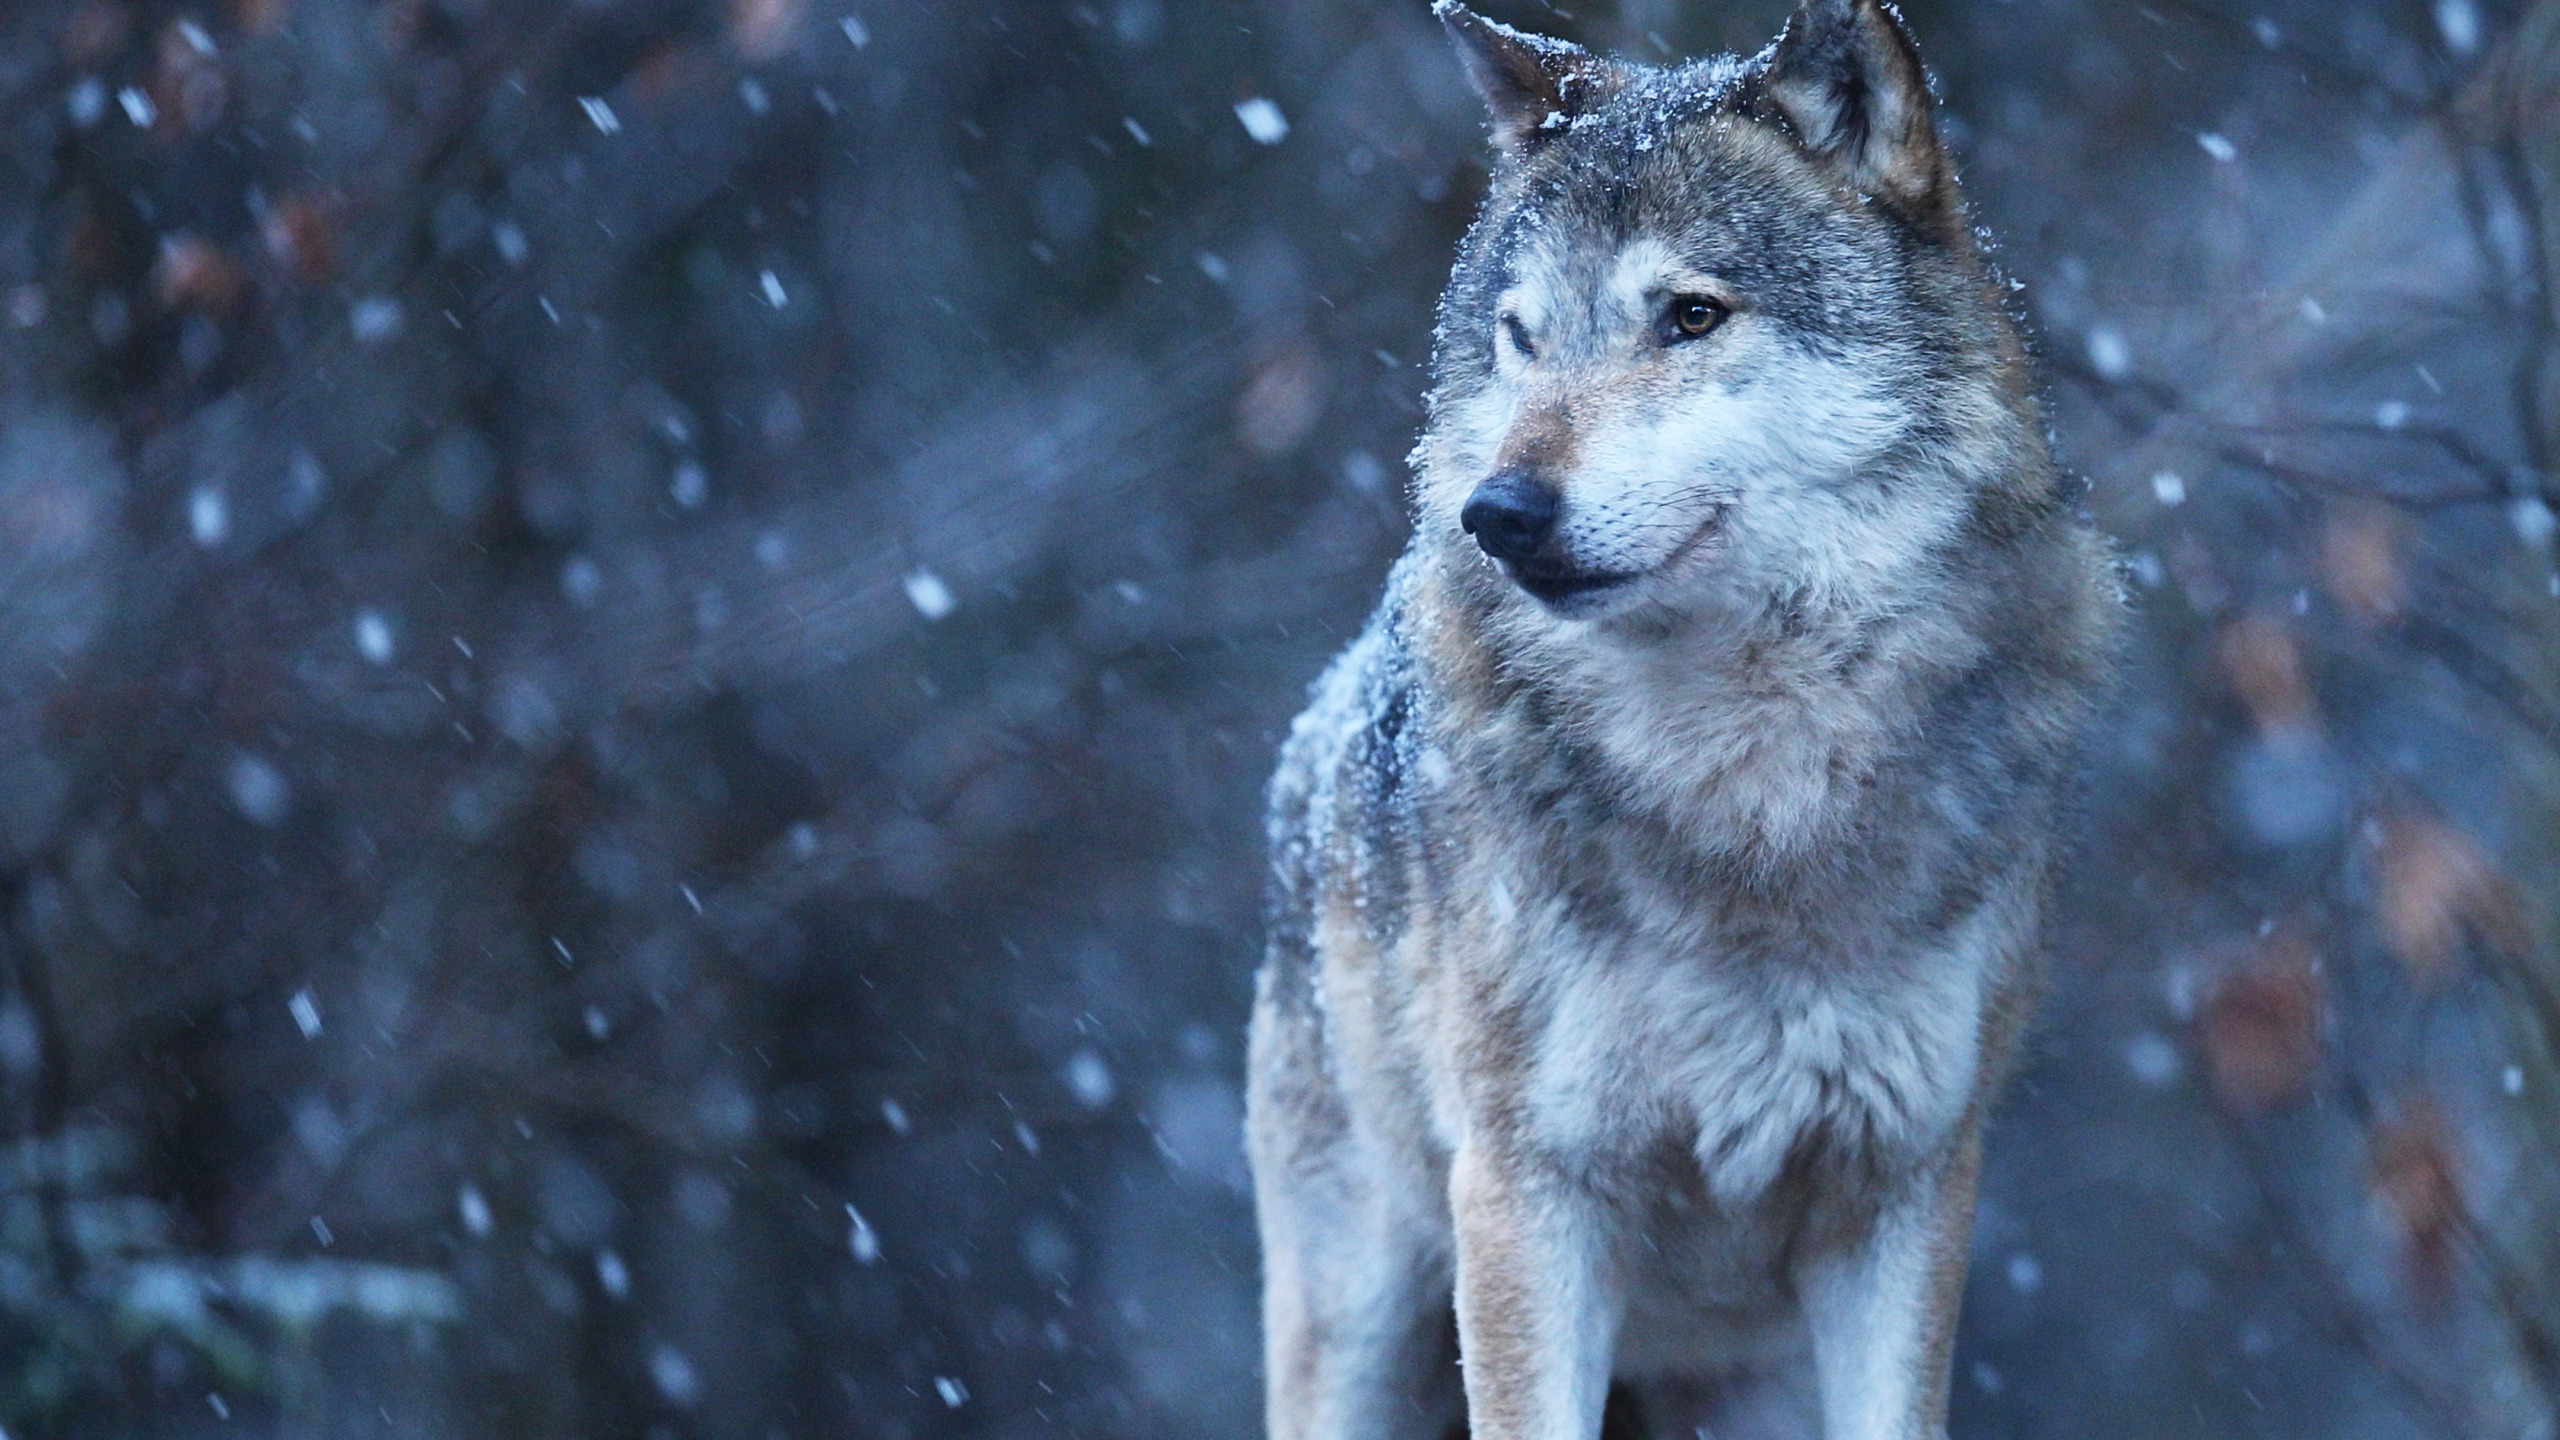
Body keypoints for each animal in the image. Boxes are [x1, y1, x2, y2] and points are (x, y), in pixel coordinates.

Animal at [1244, 2, 2119, 1434]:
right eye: (1521, 335)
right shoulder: (1527, 1198)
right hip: (1358, 1319)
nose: (1498, 514)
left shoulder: (1906, 1192)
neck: (1749, 785)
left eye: (1690, 315)